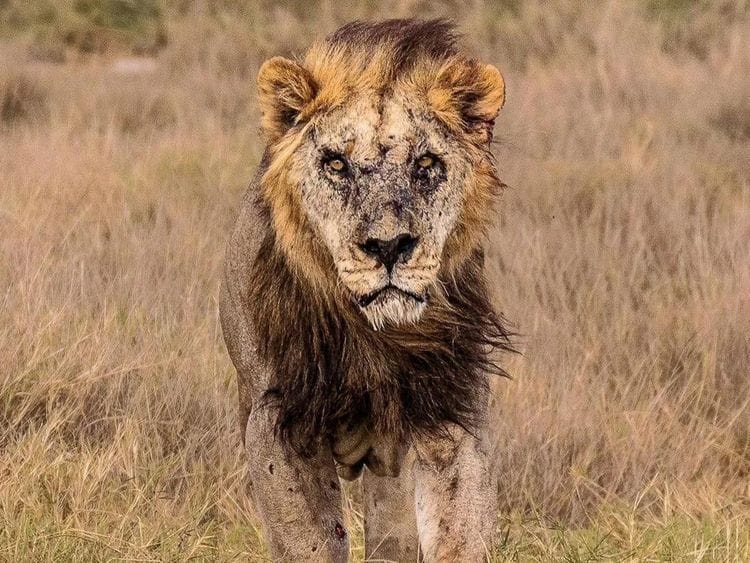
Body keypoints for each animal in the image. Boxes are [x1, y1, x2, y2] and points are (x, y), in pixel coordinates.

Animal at [220, 19, 513, 562]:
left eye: (426, 164)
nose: (389, 245)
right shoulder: (277, 422)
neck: (379, 339)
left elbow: (460, 532)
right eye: (336, 164)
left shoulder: (453, 416)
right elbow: (311, 543)